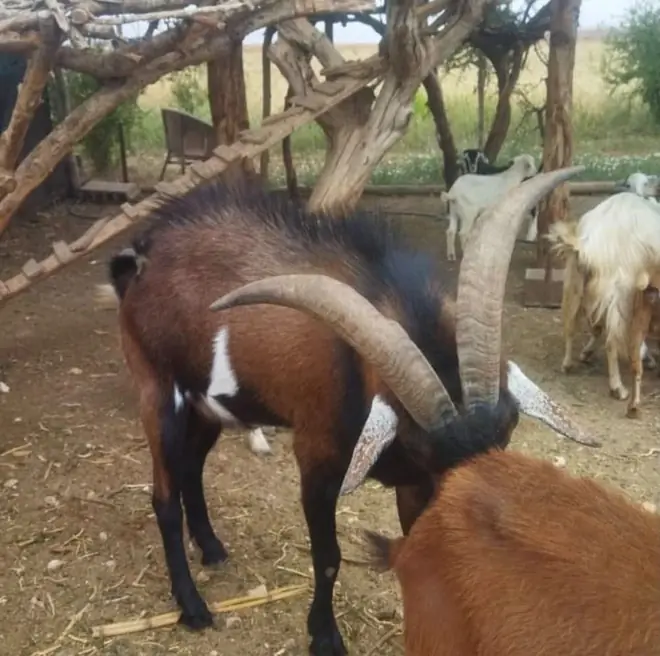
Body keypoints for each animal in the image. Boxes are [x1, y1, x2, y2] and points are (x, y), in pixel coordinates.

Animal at [100, 168, 590, 654]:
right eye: (423, 447)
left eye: (509, 427)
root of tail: (140, 257)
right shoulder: (317, 458)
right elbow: (328, 556)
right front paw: (324, 637)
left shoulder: (414, 483)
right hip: (158, 391)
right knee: (165, 496)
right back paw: (192, 606)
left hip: (206, 406)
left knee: (191, 469)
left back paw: (213, 548)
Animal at [549, 181, 660, 401]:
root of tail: (589, 242)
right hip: (621, 290)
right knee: (611, 341)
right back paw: (618, 387)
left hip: (575, 281)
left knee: (571, 324)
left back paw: (568, 363)